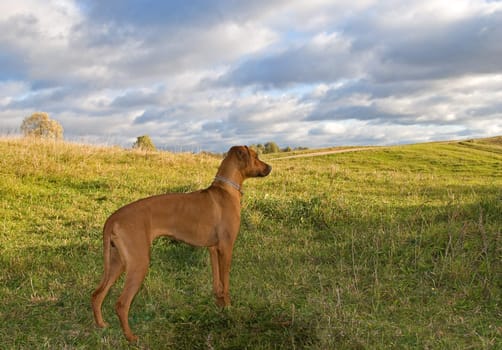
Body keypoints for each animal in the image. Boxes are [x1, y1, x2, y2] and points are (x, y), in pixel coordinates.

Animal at [90, 146, 270, 342]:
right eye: (256, 156)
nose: (270, 167)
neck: (226, 190)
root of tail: (113, 218)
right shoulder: (226, 248)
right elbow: (226, 283)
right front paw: (229, 308)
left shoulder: (213, 249)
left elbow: (217, 283)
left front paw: (219, 305)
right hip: (139, 263)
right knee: (121, 304)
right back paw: (131, 337)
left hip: (117, 262)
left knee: (97, 294)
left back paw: (101, 325)